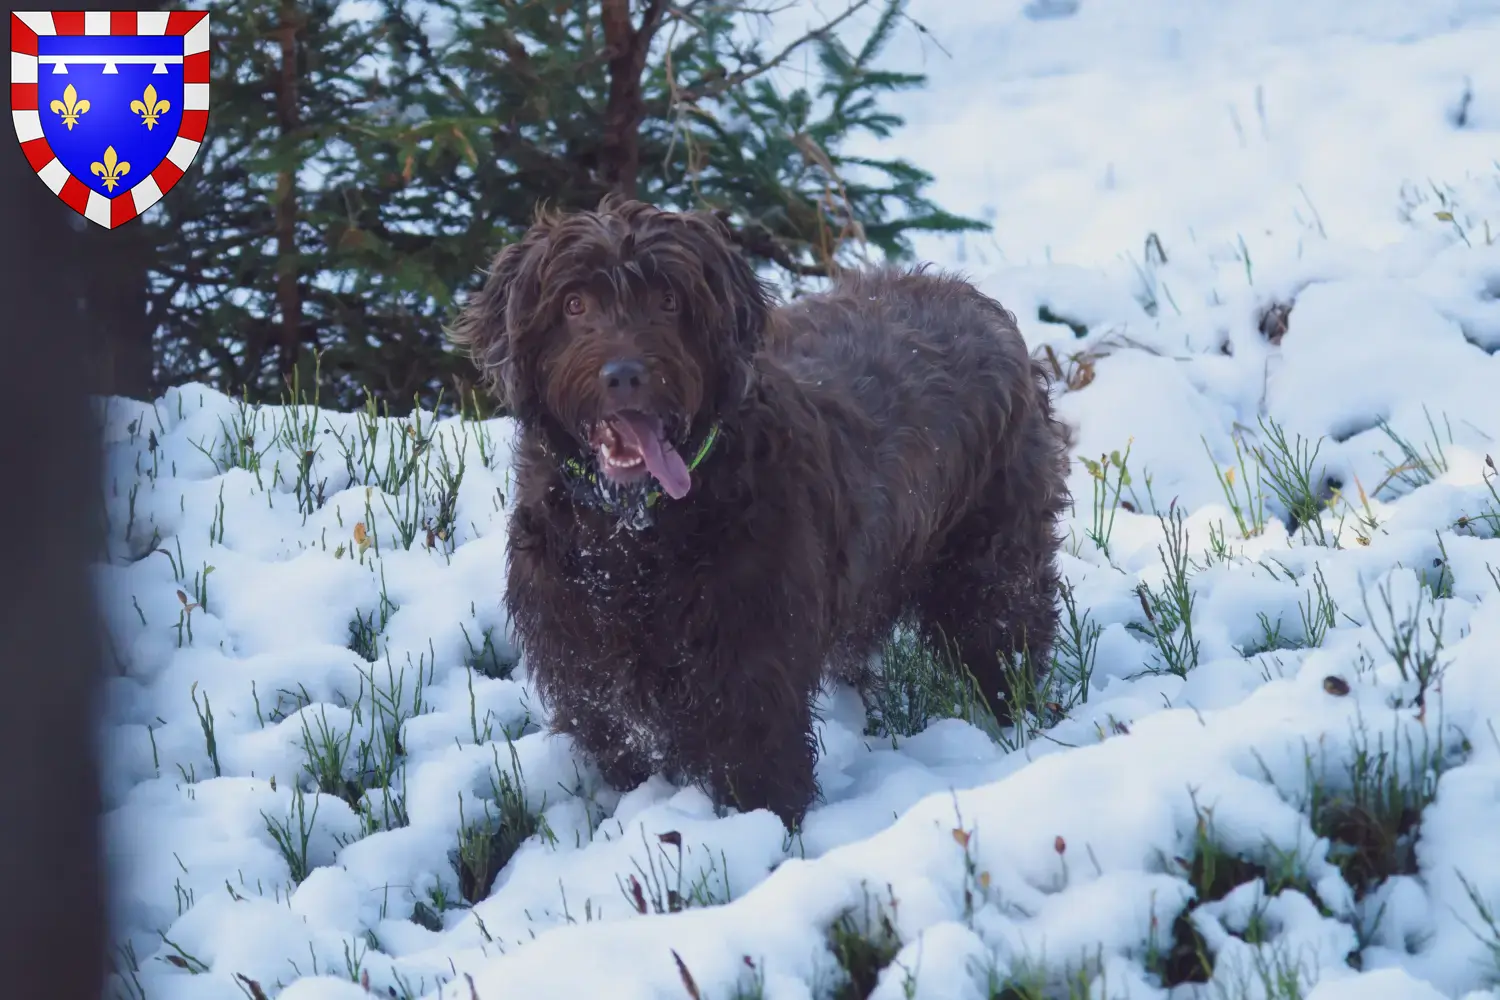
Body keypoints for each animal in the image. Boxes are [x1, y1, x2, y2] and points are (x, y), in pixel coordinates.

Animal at [450, 197, 1074, 827]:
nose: (624, 374)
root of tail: (978, 301)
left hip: (992, 557)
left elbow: (758, 763)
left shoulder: (749, 661)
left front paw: (763, 831)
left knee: (1004, 632)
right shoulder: (588, 671)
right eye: (573, 303)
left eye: (669, 300)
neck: (634, 538)